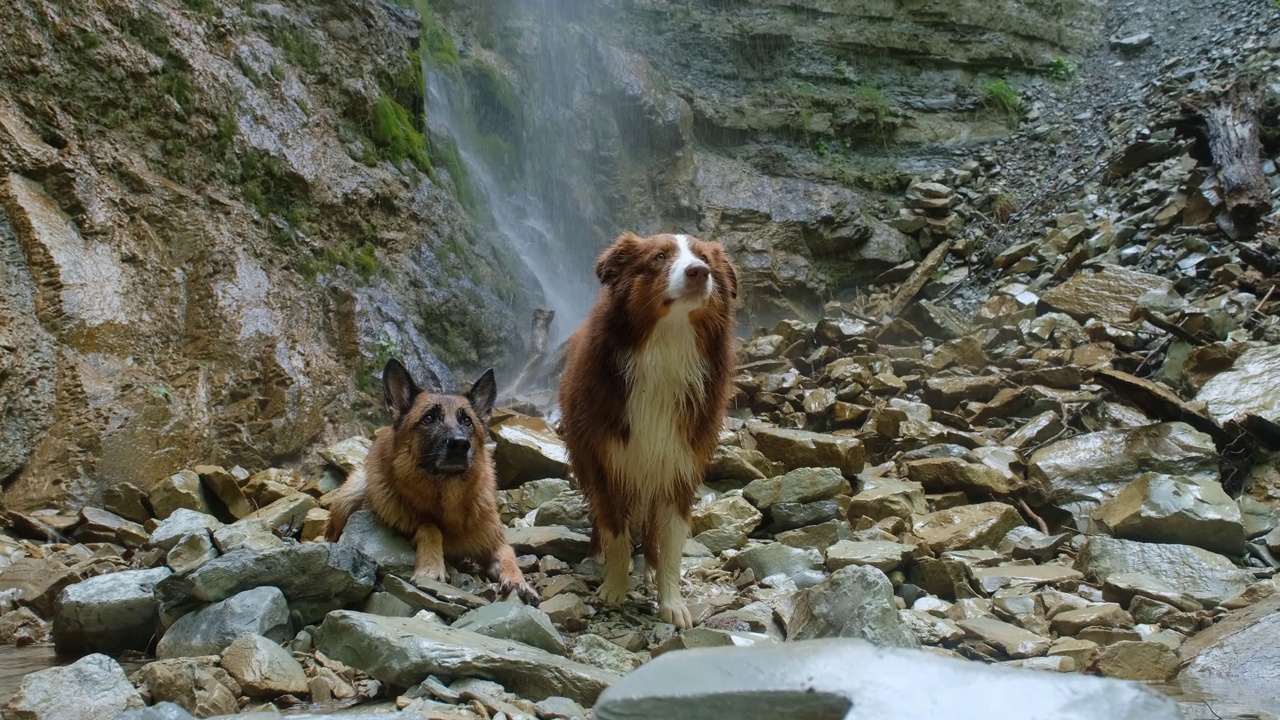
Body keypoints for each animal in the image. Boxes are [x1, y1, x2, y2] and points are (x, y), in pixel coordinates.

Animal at [327, 356, 537, 602]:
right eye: (428, 418)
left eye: (467, 421)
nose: (460, 444)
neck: (447, 498)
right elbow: (429, 526)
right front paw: (430, 566)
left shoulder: (495, 542)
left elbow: (509, 557)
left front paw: (519, 582)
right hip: (352, 492)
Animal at [563, 230, 742, 627]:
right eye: (659, 257)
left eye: (705, 258)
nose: (698, 272)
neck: (666, 346)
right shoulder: (609, 464)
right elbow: (616, 534)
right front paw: (614, 588)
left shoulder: (679, 467)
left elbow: (672, 545)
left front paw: (671, 601)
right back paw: (599, 556)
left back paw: (648, 568)